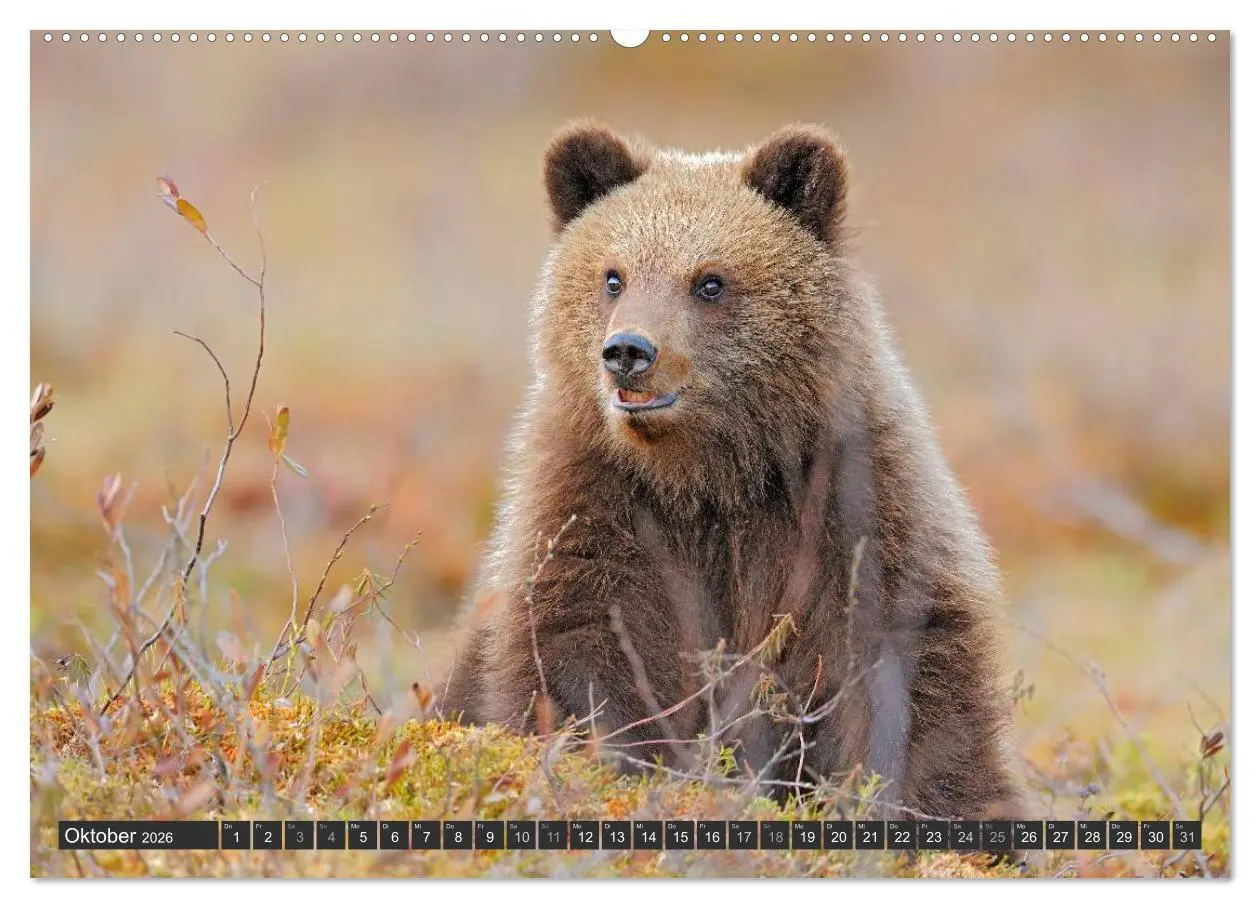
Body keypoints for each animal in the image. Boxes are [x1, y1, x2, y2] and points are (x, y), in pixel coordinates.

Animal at [442, 121, 1025, 822]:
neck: (711, 480)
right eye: (613, 276)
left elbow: (905, 672)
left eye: (710, 280)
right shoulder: (597, 504)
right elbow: (579, 651)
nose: (629, 351)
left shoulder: (852, 507)